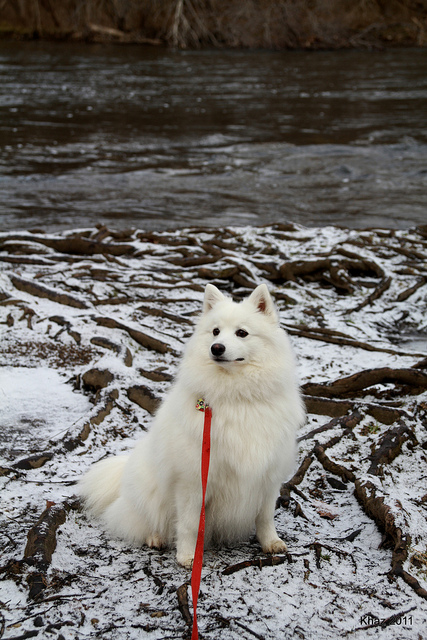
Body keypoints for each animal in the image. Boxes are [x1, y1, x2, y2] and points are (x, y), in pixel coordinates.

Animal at [78, 282, 306, 568]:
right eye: (215, 331)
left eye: (242, 333)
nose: (216, 347)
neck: (236, 396)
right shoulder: (192, 481)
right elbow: (188, 524)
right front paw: (188, 556)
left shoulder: (267, 477)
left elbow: (265, 518)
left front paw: (271, 543)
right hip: (150, 494)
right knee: (143, 520)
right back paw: (155, 537)